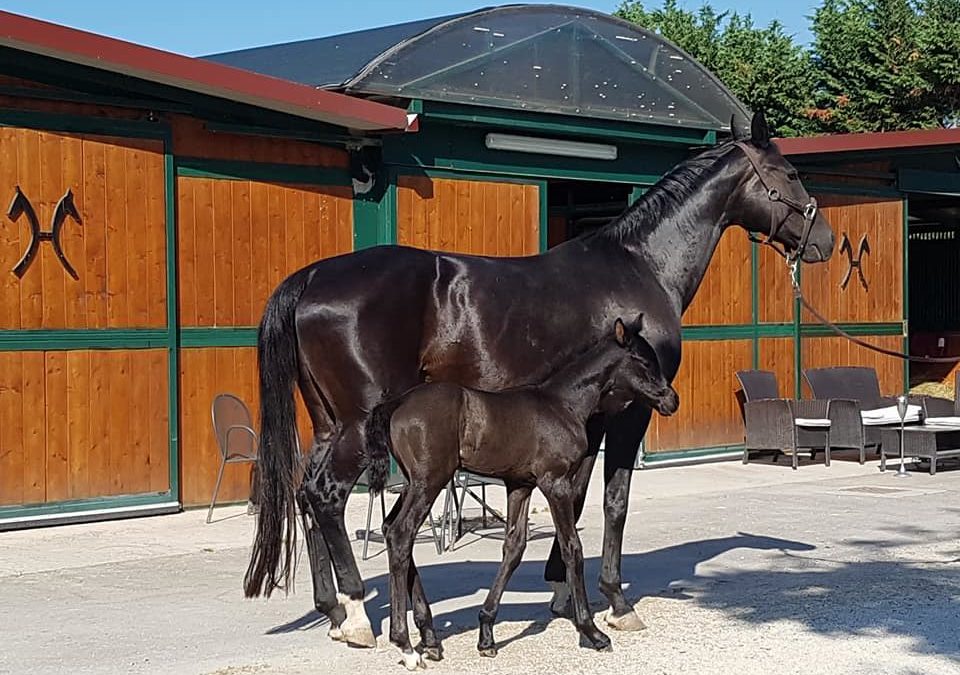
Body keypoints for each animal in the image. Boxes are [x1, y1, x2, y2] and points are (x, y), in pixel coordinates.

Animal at [364, 318, 680, 672]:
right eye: (644, 362)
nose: (672, 400)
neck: (563, 405)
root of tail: (397, 403)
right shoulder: (555, 483)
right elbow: (572, 548)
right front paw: (592, 633)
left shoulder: (520, 485)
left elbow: (514, 548)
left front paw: (486, 634)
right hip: (429, 482)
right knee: (402, 534)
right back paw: (405, 646)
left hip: (412, 483)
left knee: (391, 530)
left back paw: (430, 640)